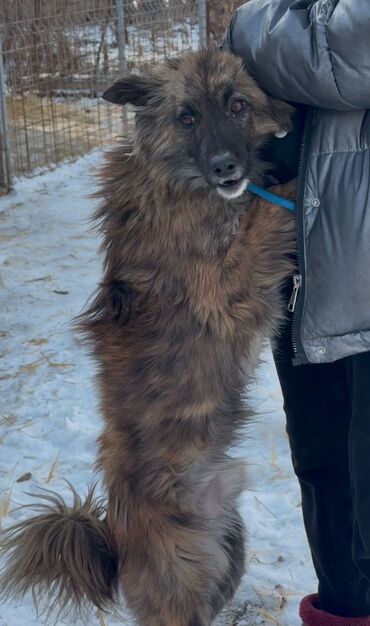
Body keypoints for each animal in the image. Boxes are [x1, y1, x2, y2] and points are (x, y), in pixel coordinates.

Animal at [0, 48, 294, 624]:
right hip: (180, 577)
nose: (226, 167)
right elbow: (268, 216)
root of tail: (114, 540)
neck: (179, 182)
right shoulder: (224, 289)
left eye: (238, 105)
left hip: (227, 546)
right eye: (187, 117)